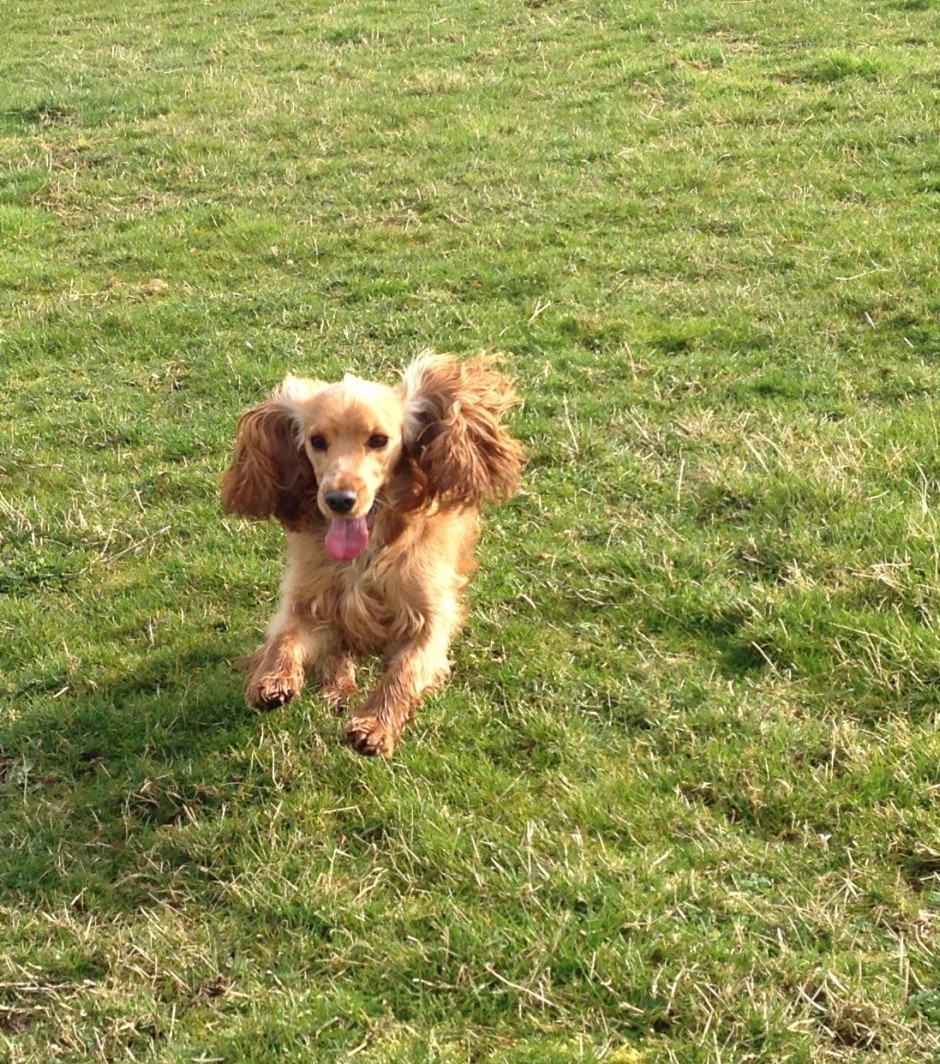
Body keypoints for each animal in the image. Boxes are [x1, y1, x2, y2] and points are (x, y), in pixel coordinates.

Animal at [221, 353, 524, 756]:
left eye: (379, 440)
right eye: (317, 441)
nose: (339, 499)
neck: (364, 553)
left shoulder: (429, 617)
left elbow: (404, 671)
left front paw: (375, 726)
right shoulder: (310, 600)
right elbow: (286, 637)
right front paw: (272, 679)